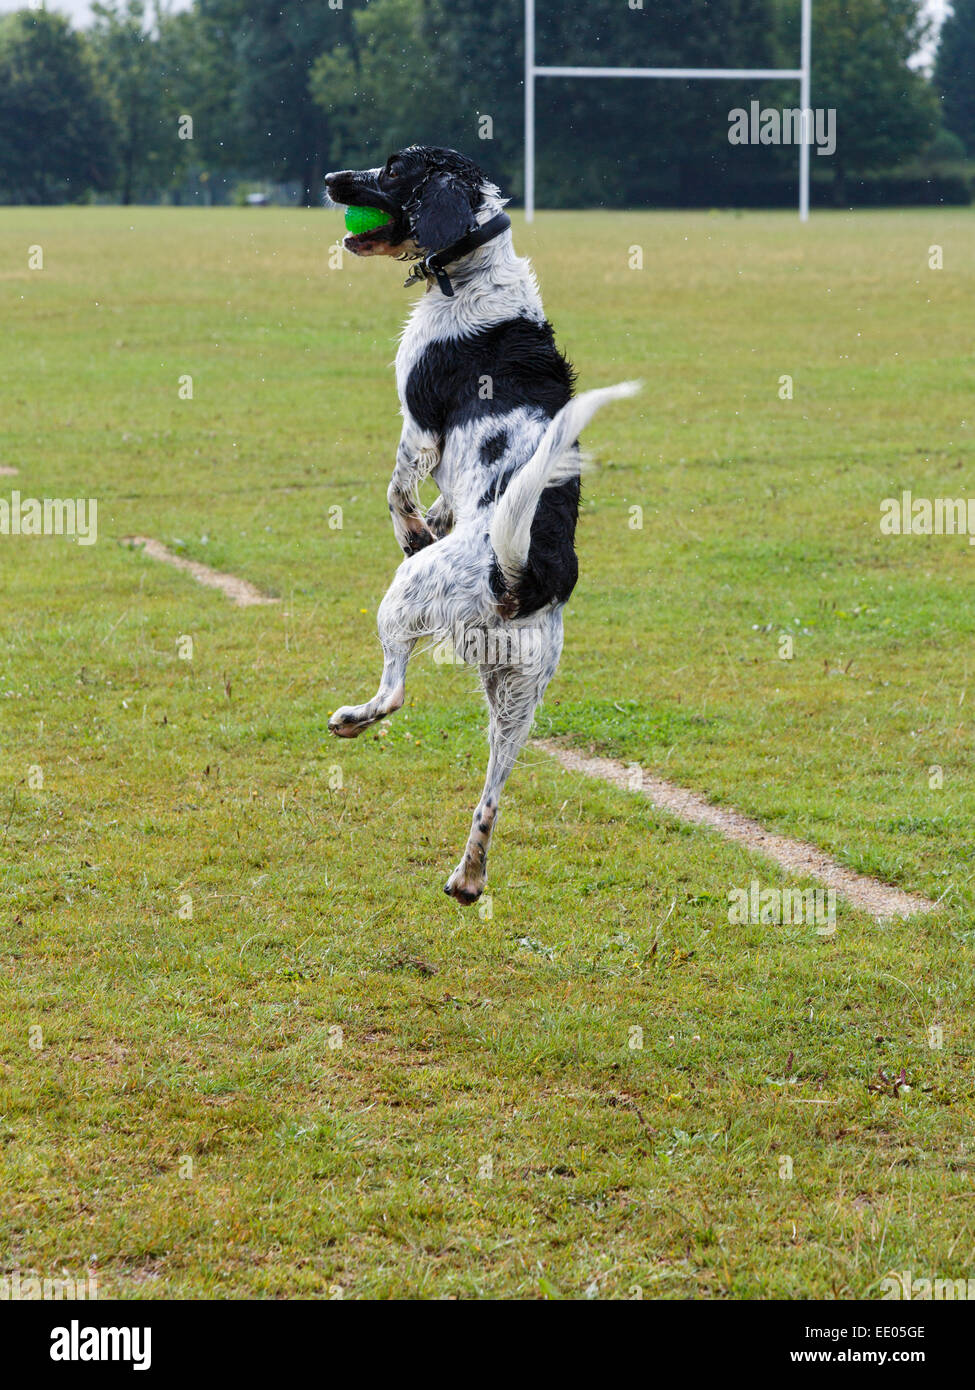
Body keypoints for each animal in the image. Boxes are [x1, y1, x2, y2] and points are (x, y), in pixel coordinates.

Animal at [322, 149, 634, 900]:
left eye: (393, 169)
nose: (331, 182)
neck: (474, 269)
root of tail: (521, 575)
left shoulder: (418, 426)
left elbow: (396, 488)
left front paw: (415, 524)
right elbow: (432, 497)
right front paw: (437, 515)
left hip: (404, 597)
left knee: (394, 692)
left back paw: (350, 718)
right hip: (518, 699)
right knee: (492, 796)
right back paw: (467, 879)